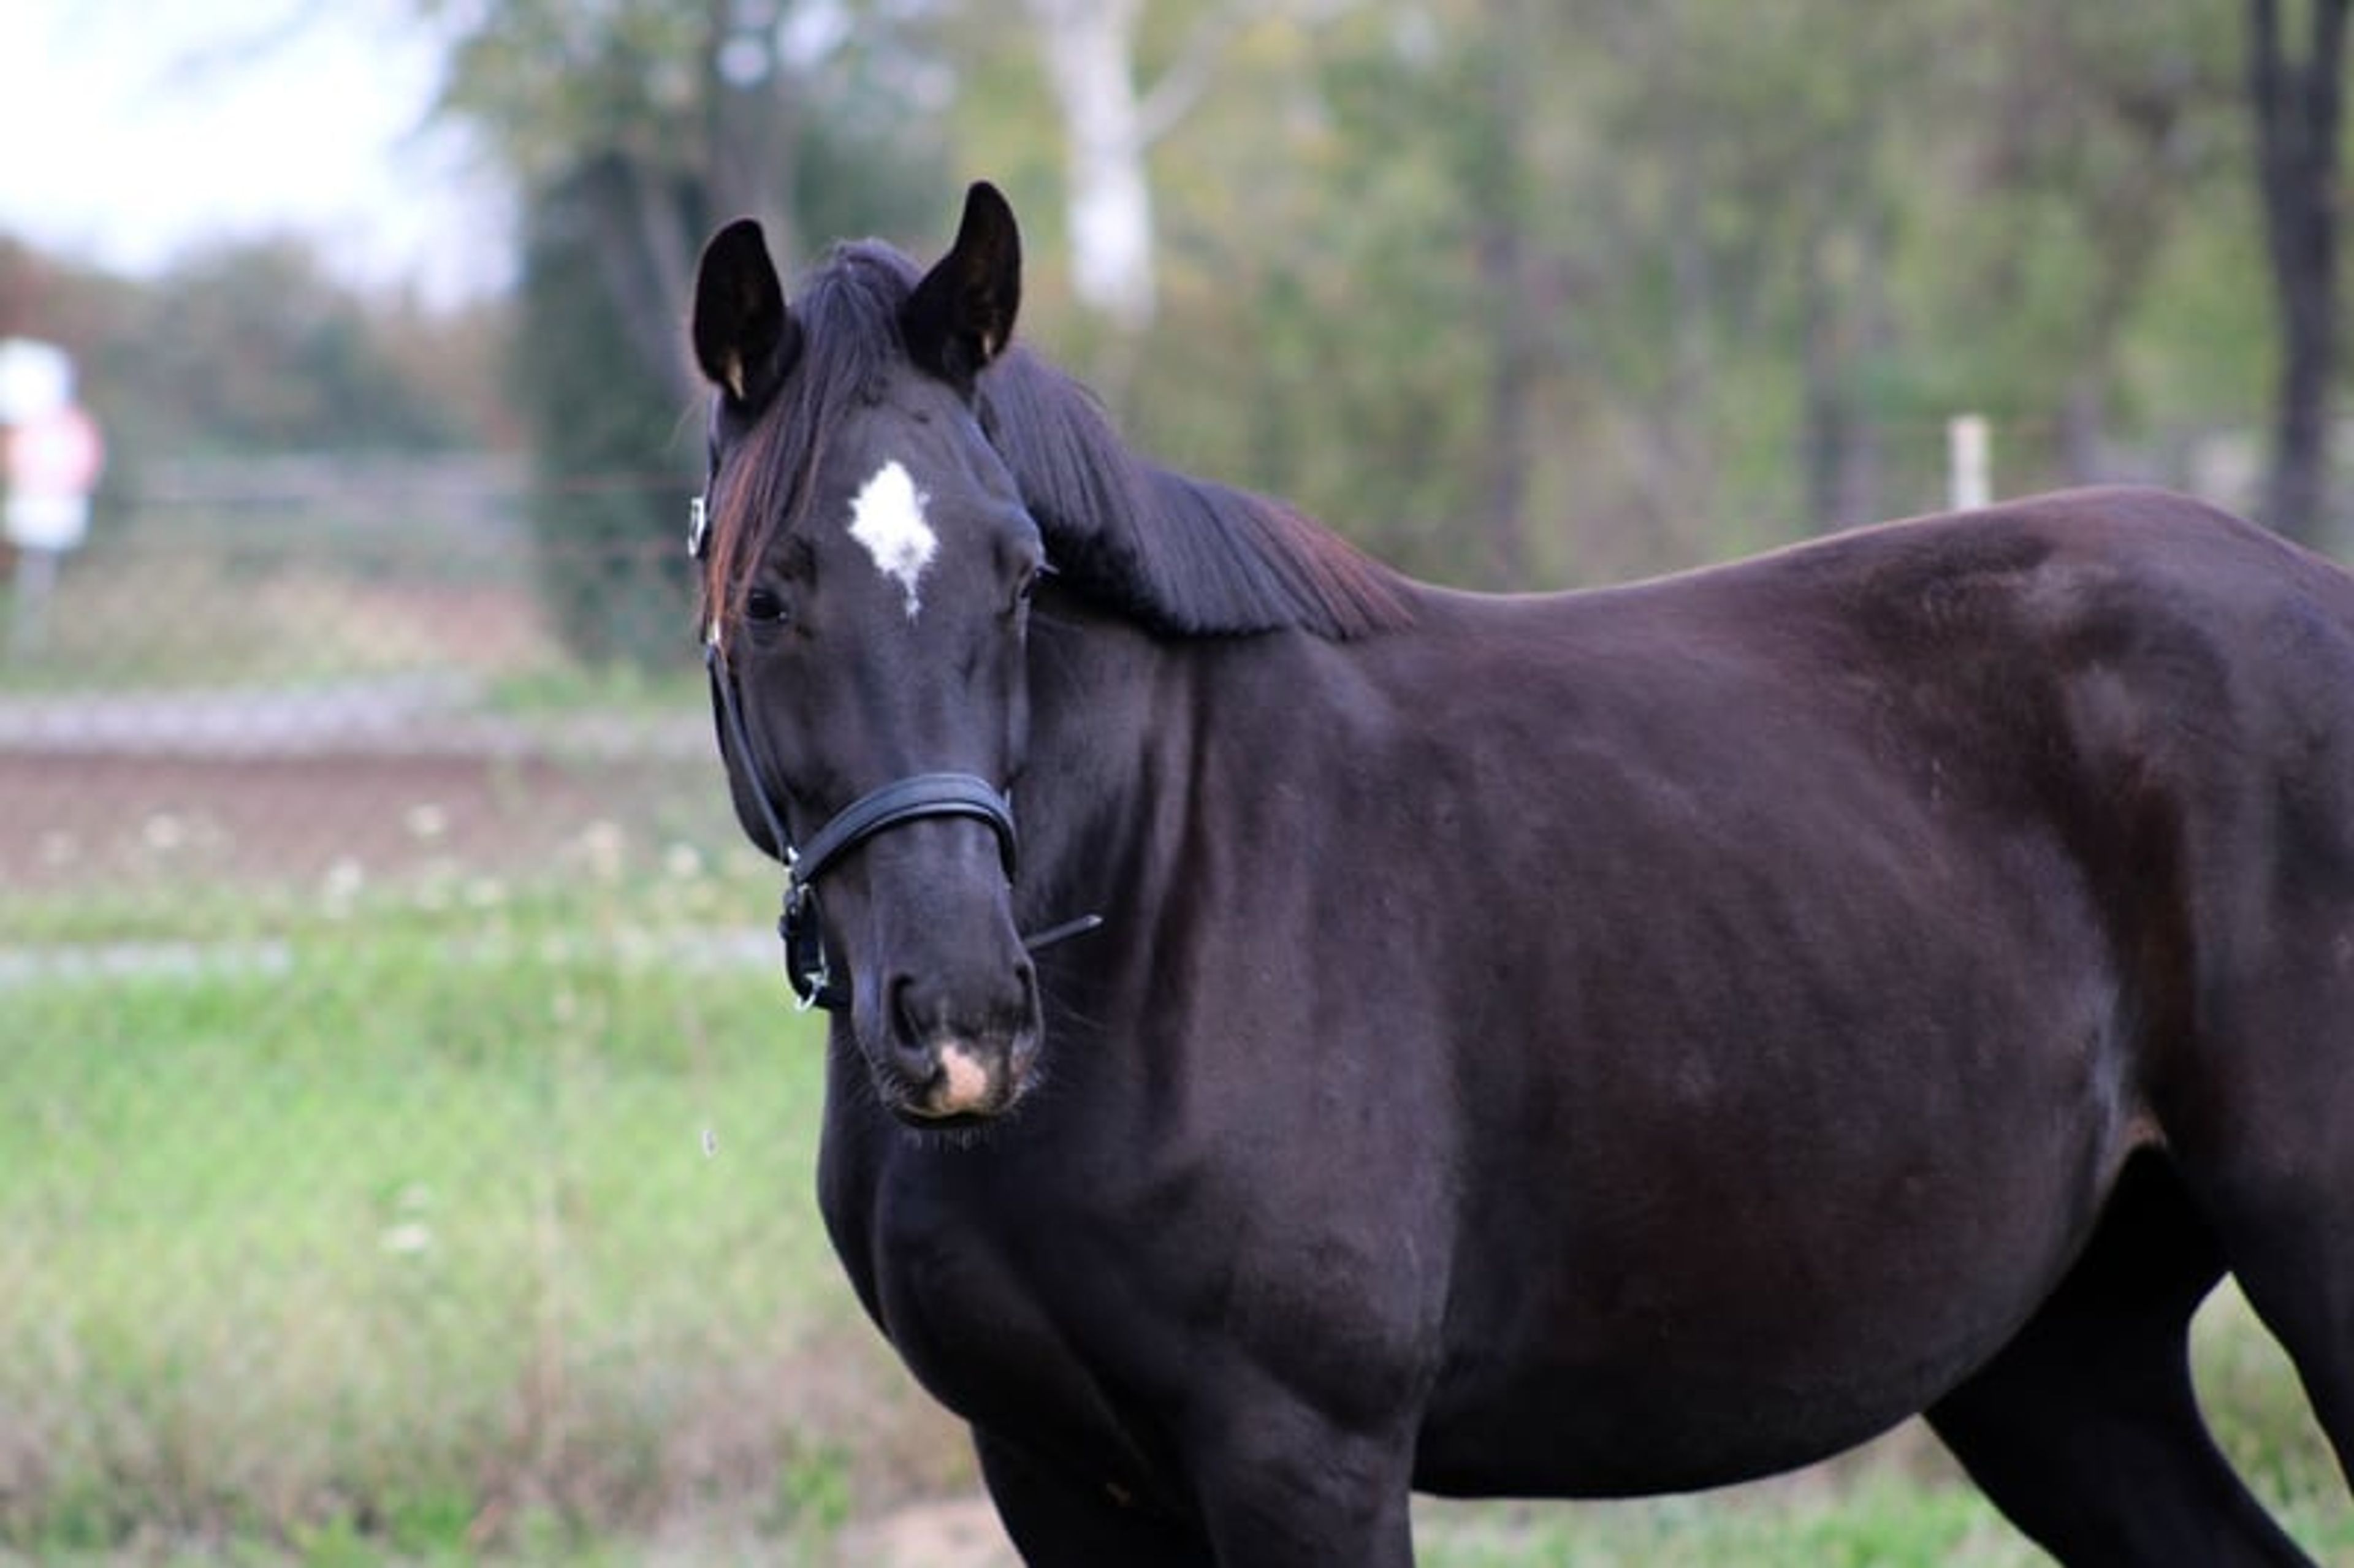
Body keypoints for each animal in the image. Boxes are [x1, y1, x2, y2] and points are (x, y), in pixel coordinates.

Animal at [686, 181, 2354, 1566]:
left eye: (1019, 574)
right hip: (2060, 1366)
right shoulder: (1049, 1472)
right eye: (766, 596)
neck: (1153, 894)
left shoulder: (1307, 1458)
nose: (964, 1020)